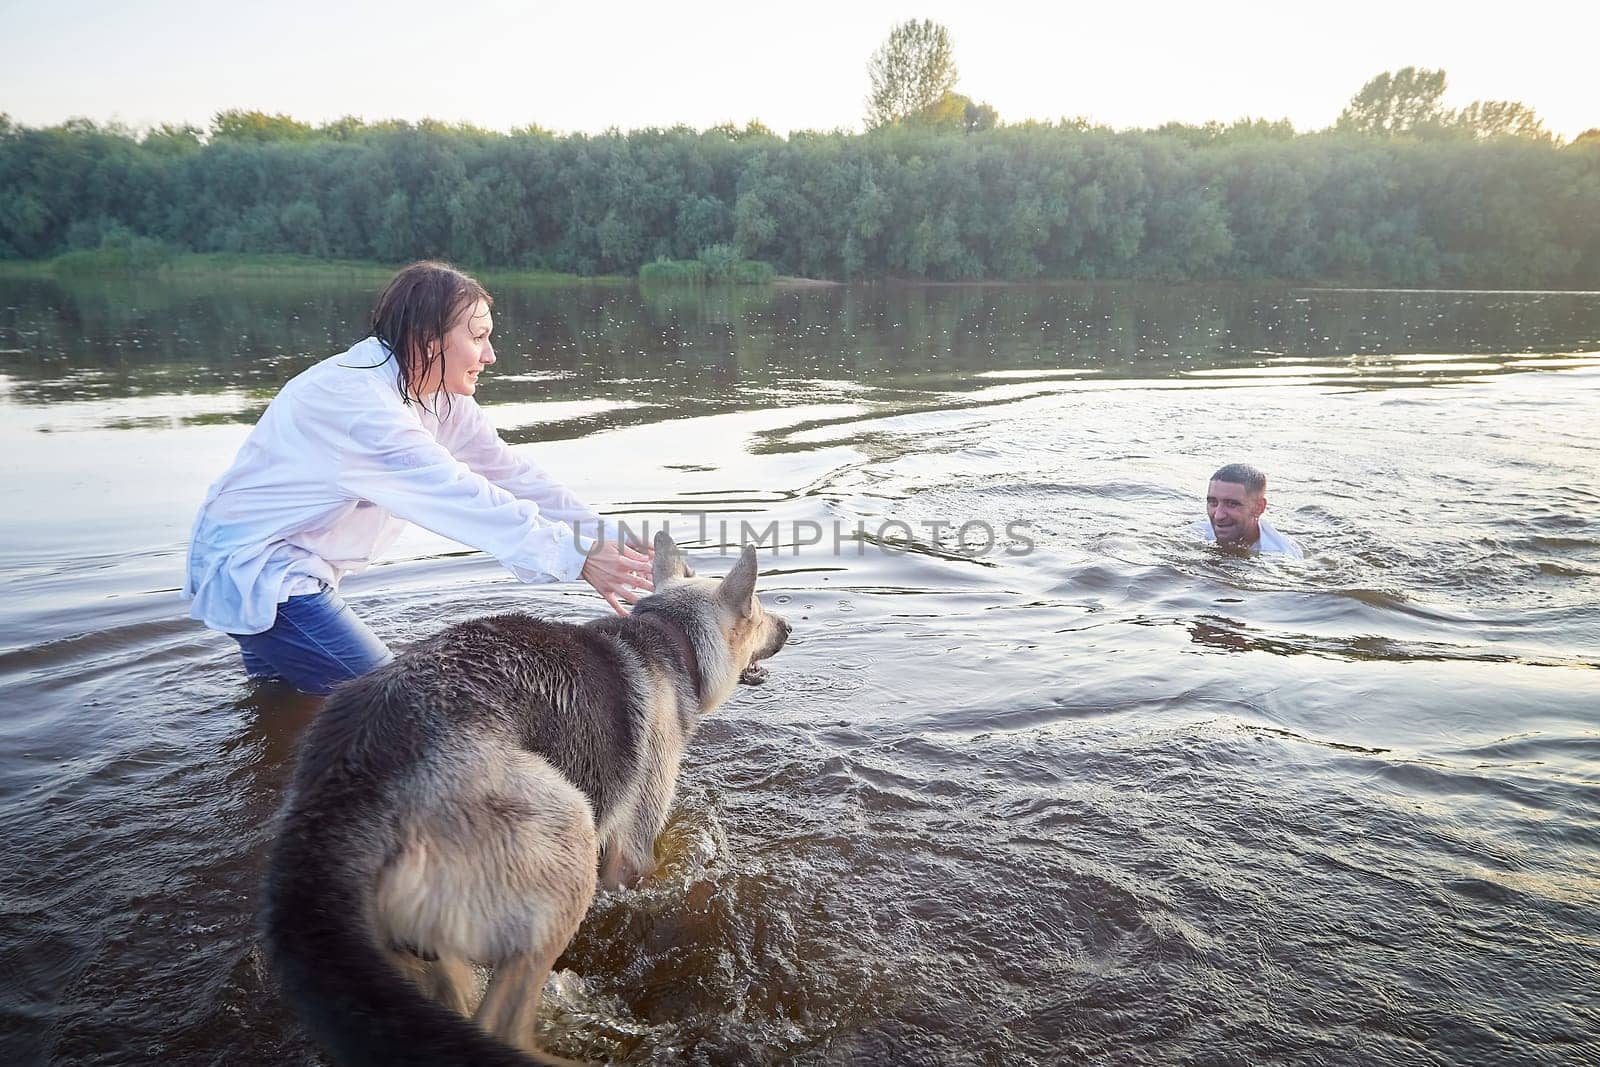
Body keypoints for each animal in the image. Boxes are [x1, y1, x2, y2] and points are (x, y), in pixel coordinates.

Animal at [264, 534, 793, 1067]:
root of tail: (351, 792)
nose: (789, 626)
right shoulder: (632, 853)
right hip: (568, 840)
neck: (669, 638)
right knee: (503, 1025)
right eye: (758, 609)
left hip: (422, 962)